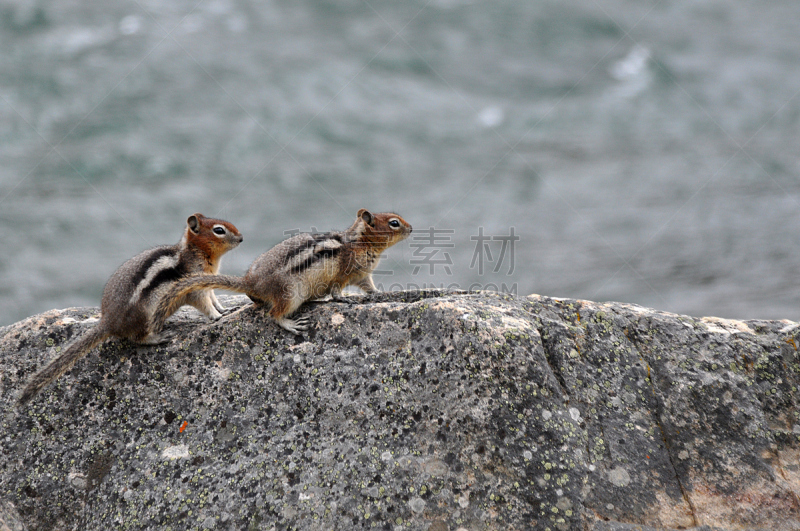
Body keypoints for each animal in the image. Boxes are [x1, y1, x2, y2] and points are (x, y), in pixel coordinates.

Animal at [17, 214, 242, 406]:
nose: (241, 238)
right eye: (219, 230)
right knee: (138, 338)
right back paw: (158, 337)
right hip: (147, 314)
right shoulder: (193, 286)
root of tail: (108, 321)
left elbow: (214, 299)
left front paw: (226, 309)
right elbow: (205, 304)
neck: (197, 252)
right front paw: (216, 316)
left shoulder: (207, 283)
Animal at [155, 210, 412, 334]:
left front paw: (378, 294)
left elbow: (369, 286)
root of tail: (251, 281)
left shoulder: (363, 274)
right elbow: (337, 289)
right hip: (291, 294)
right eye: (394, 223)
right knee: (273, 314)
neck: (360, 242)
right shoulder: (343, 272)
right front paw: (344, 299)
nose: (411, 228)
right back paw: (290, 324)